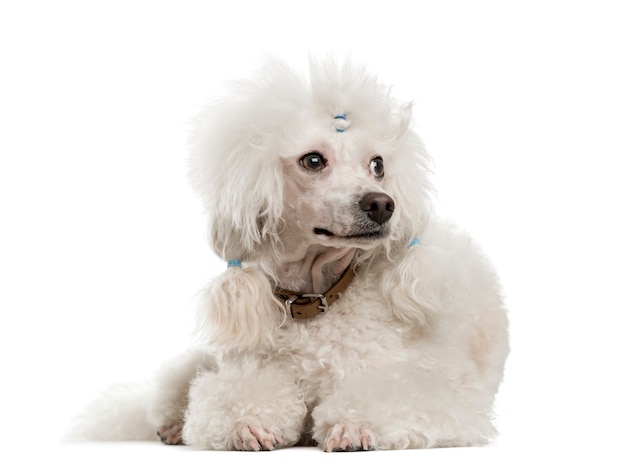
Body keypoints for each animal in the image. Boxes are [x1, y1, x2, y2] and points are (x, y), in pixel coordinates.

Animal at [72, 57, 508, 452]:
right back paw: (173, 426)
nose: (383, 205)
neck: (315, 297)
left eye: (378, 165)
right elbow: (237, 396)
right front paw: (249, 425)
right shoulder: (251, 366)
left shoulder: (428, 384)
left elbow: (396, 396)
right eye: (313, 160)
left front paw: (353, 426)